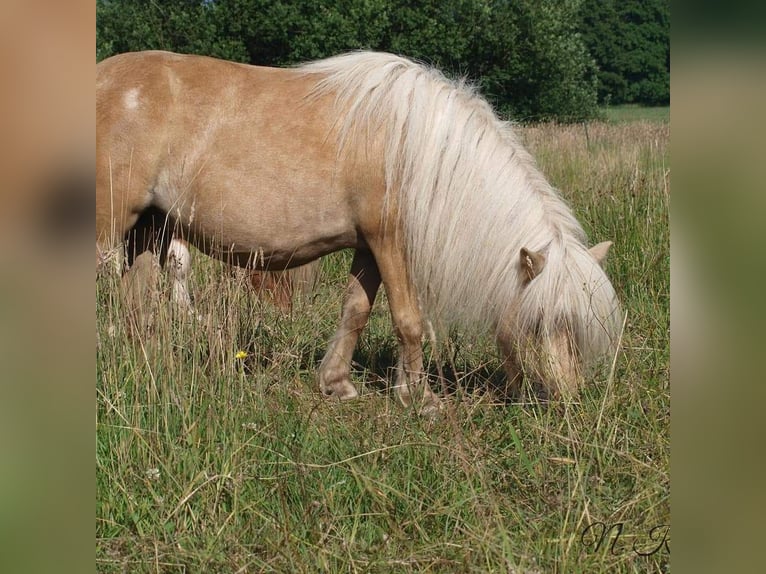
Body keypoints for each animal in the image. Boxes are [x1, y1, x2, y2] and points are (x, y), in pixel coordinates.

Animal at [97, 48, 624, 410]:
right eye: (539, 323)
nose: (564, 400)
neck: (419, 151)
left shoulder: (370, 246)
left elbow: (355, 310)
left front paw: (337, 382)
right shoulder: (392, 243)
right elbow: (409, 320)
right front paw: (420, 398)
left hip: (150, 229)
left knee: (136, 301)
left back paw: (148, 367)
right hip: (112, 226)